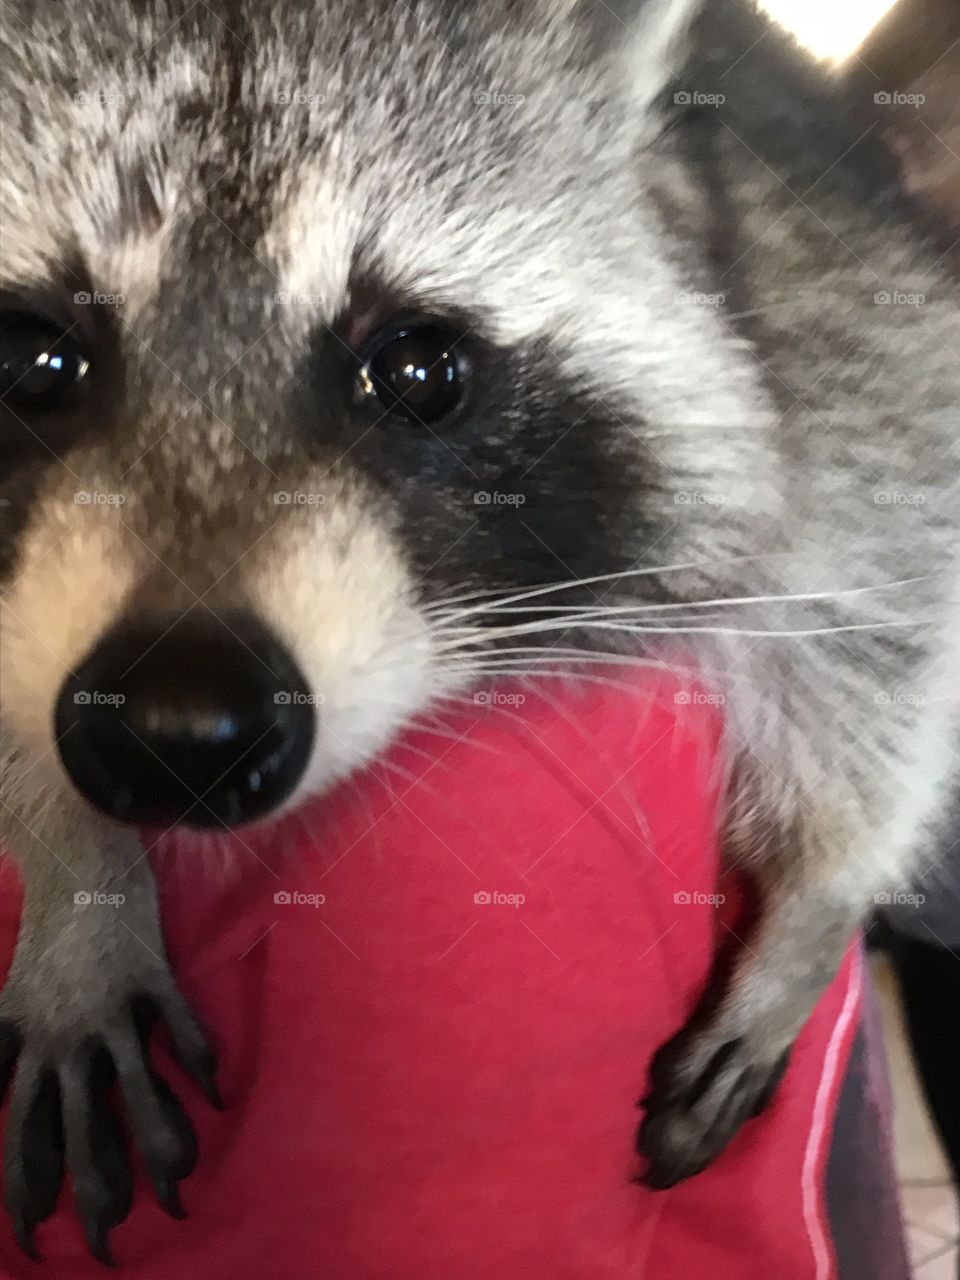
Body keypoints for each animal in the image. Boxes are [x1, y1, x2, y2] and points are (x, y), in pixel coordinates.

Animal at [1, 0, 958, 1264]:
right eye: (33, 360)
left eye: (417, 369)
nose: (174, 728)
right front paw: (76, 879)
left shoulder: (823, 306)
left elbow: (885, 553)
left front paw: (818, 897)